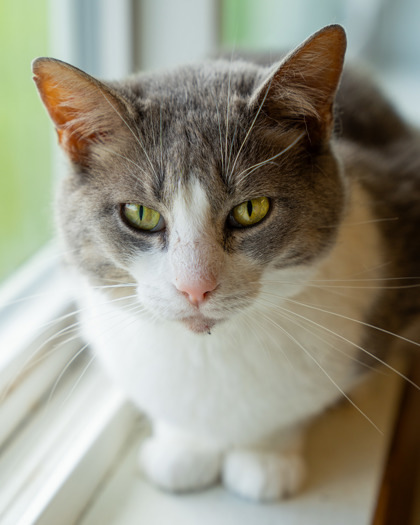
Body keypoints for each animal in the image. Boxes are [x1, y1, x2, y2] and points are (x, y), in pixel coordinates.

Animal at [32, 23, 420, 500]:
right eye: (140, 214)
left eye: (251, 210)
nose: (194, 287)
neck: (211, 353)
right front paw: (183, 449)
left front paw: (266, 457)